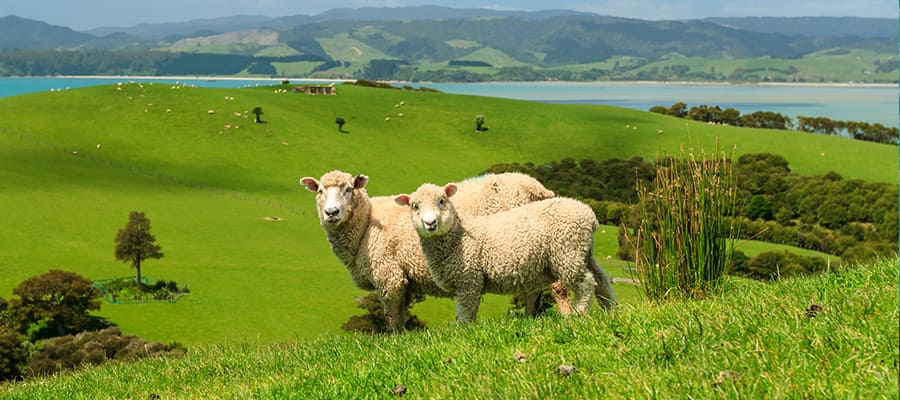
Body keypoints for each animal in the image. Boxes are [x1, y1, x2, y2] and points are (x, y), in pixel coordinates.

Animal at [302, 170, 568, 332]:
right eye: (320, 191)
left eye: (348, 189)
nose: (331, 212)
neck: (366, 224)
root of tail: (537, 189)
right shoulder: (404, 279)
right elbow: (400, 314)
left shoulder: (389, 275)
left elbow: (391, 316)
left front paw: (393, 341)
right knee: (533, 290)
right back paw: (530, 319)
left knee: (559, 286)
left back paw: (567, 317)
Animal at [396, 184, 616, 324]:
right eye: (415, 206)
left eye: (442, 201)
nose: (430, 223)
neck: (458, 236)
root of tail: (589, 216)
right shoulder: (471, 282)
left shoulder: (469, 279)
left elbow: (465, 311)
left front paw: (464, 331)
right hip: (583, 252)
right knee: (601, 279)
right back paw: (611, 309)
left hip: (568, 252)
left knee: (585, 283)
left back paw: (579, 314)